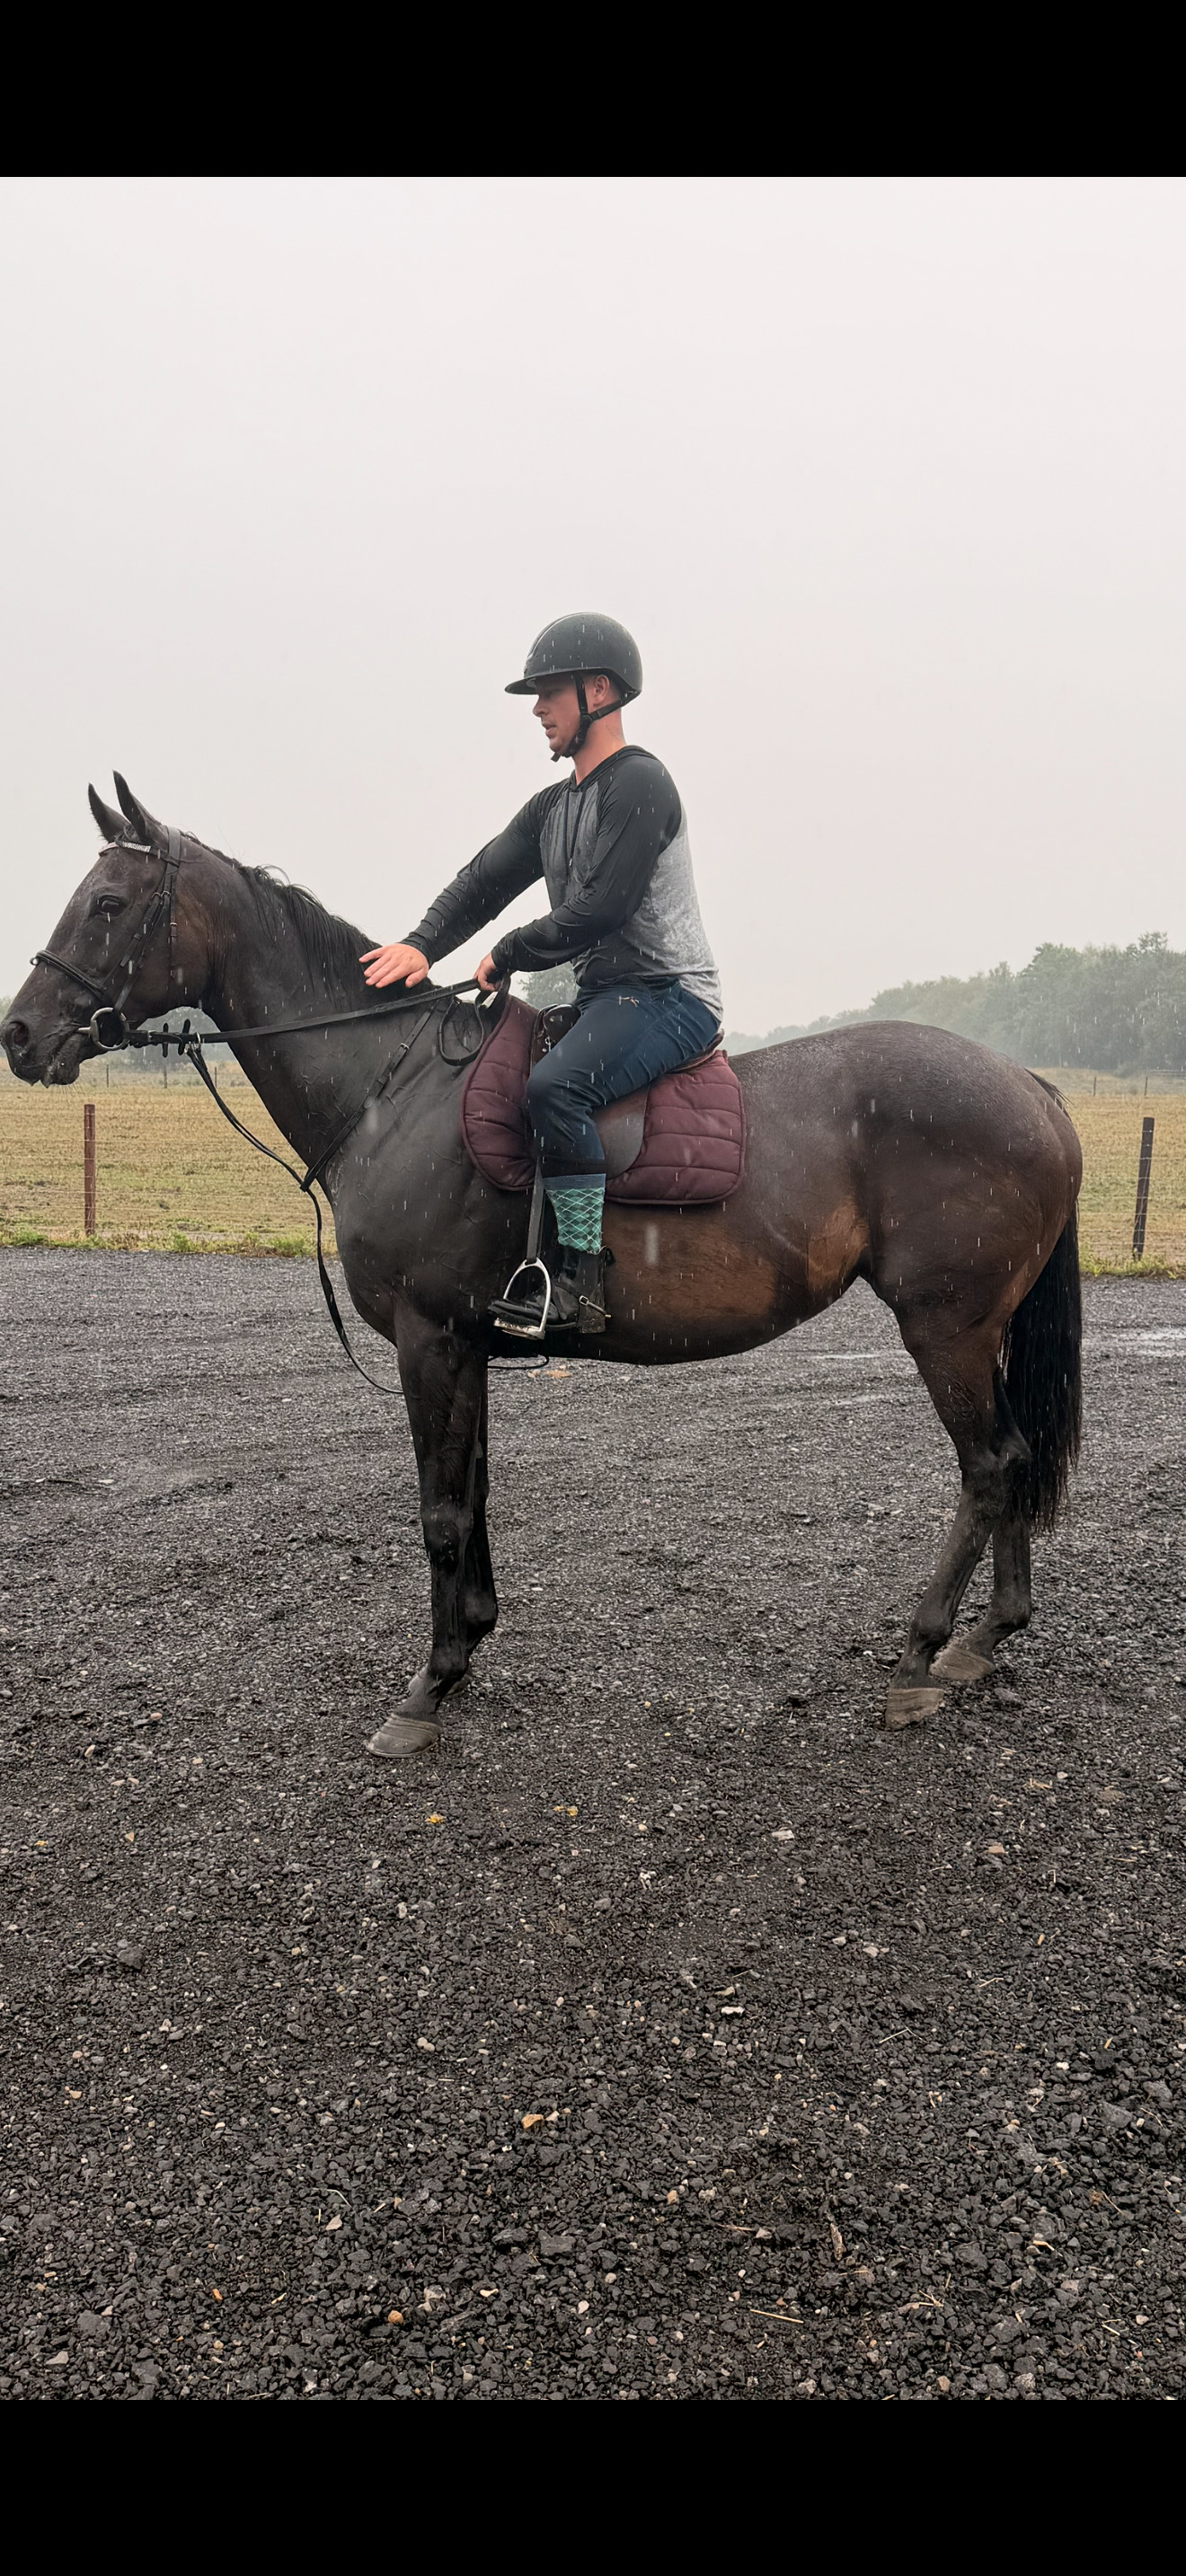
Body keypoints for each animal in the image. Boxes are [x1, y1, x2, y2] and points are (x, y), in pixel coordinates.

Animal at [2, 777, 1083, 1757]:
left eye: (108, 904)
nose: (18, 1034)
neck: (394, 1088)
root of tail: (1029, 1085)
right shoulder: (467, 1344)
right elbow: (473, 1492)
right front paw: (469, 1645)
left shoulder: (431, 1341)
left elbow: (441, 1510)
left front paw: (428, 1687)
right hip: (979, 1330)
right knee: (1016, 1455)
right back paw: (987, 1636)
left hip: (944, 1326)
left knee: (990, 1466)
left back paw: (920, 1653)